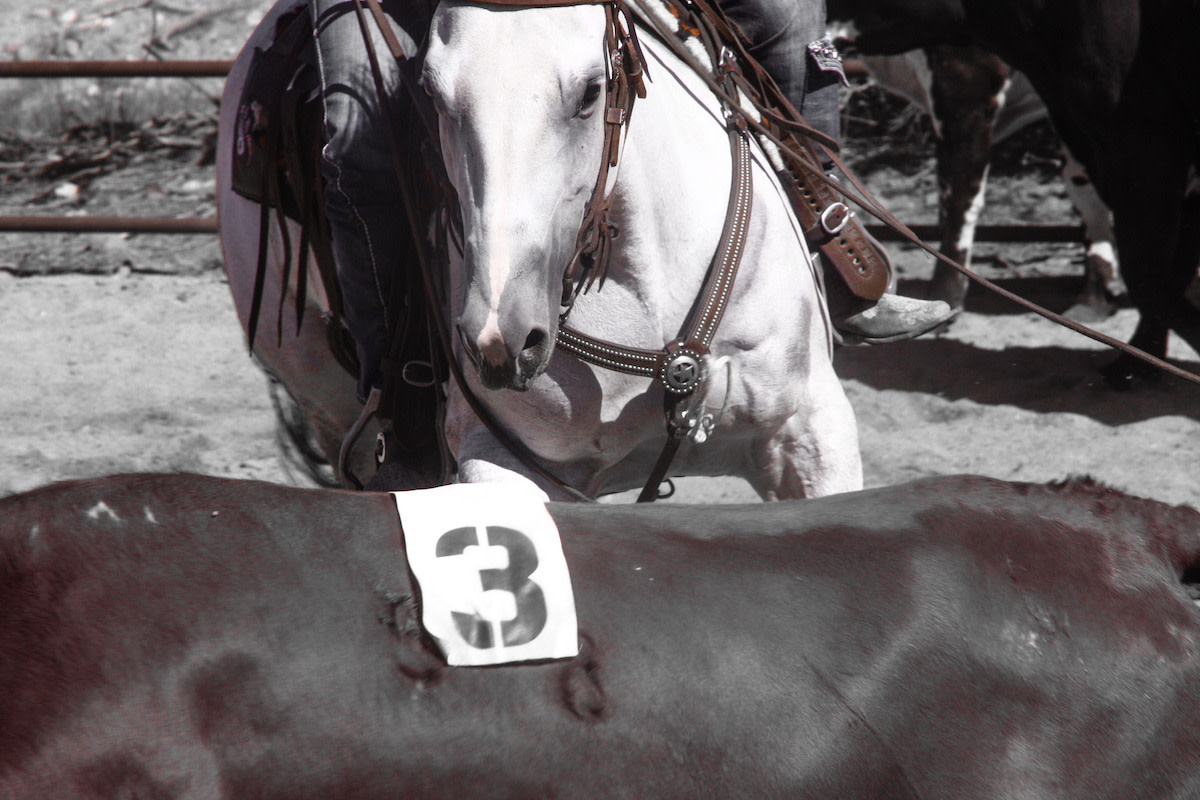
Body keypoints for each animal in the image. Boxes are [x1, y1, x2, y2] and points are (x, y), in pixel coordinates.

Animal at [217, 0, 862, 500]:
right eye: (434, 94)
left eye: (591, 89)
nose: (499, 340)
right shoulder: (502, 460)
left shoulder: (812, 429)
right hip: (316, 385)